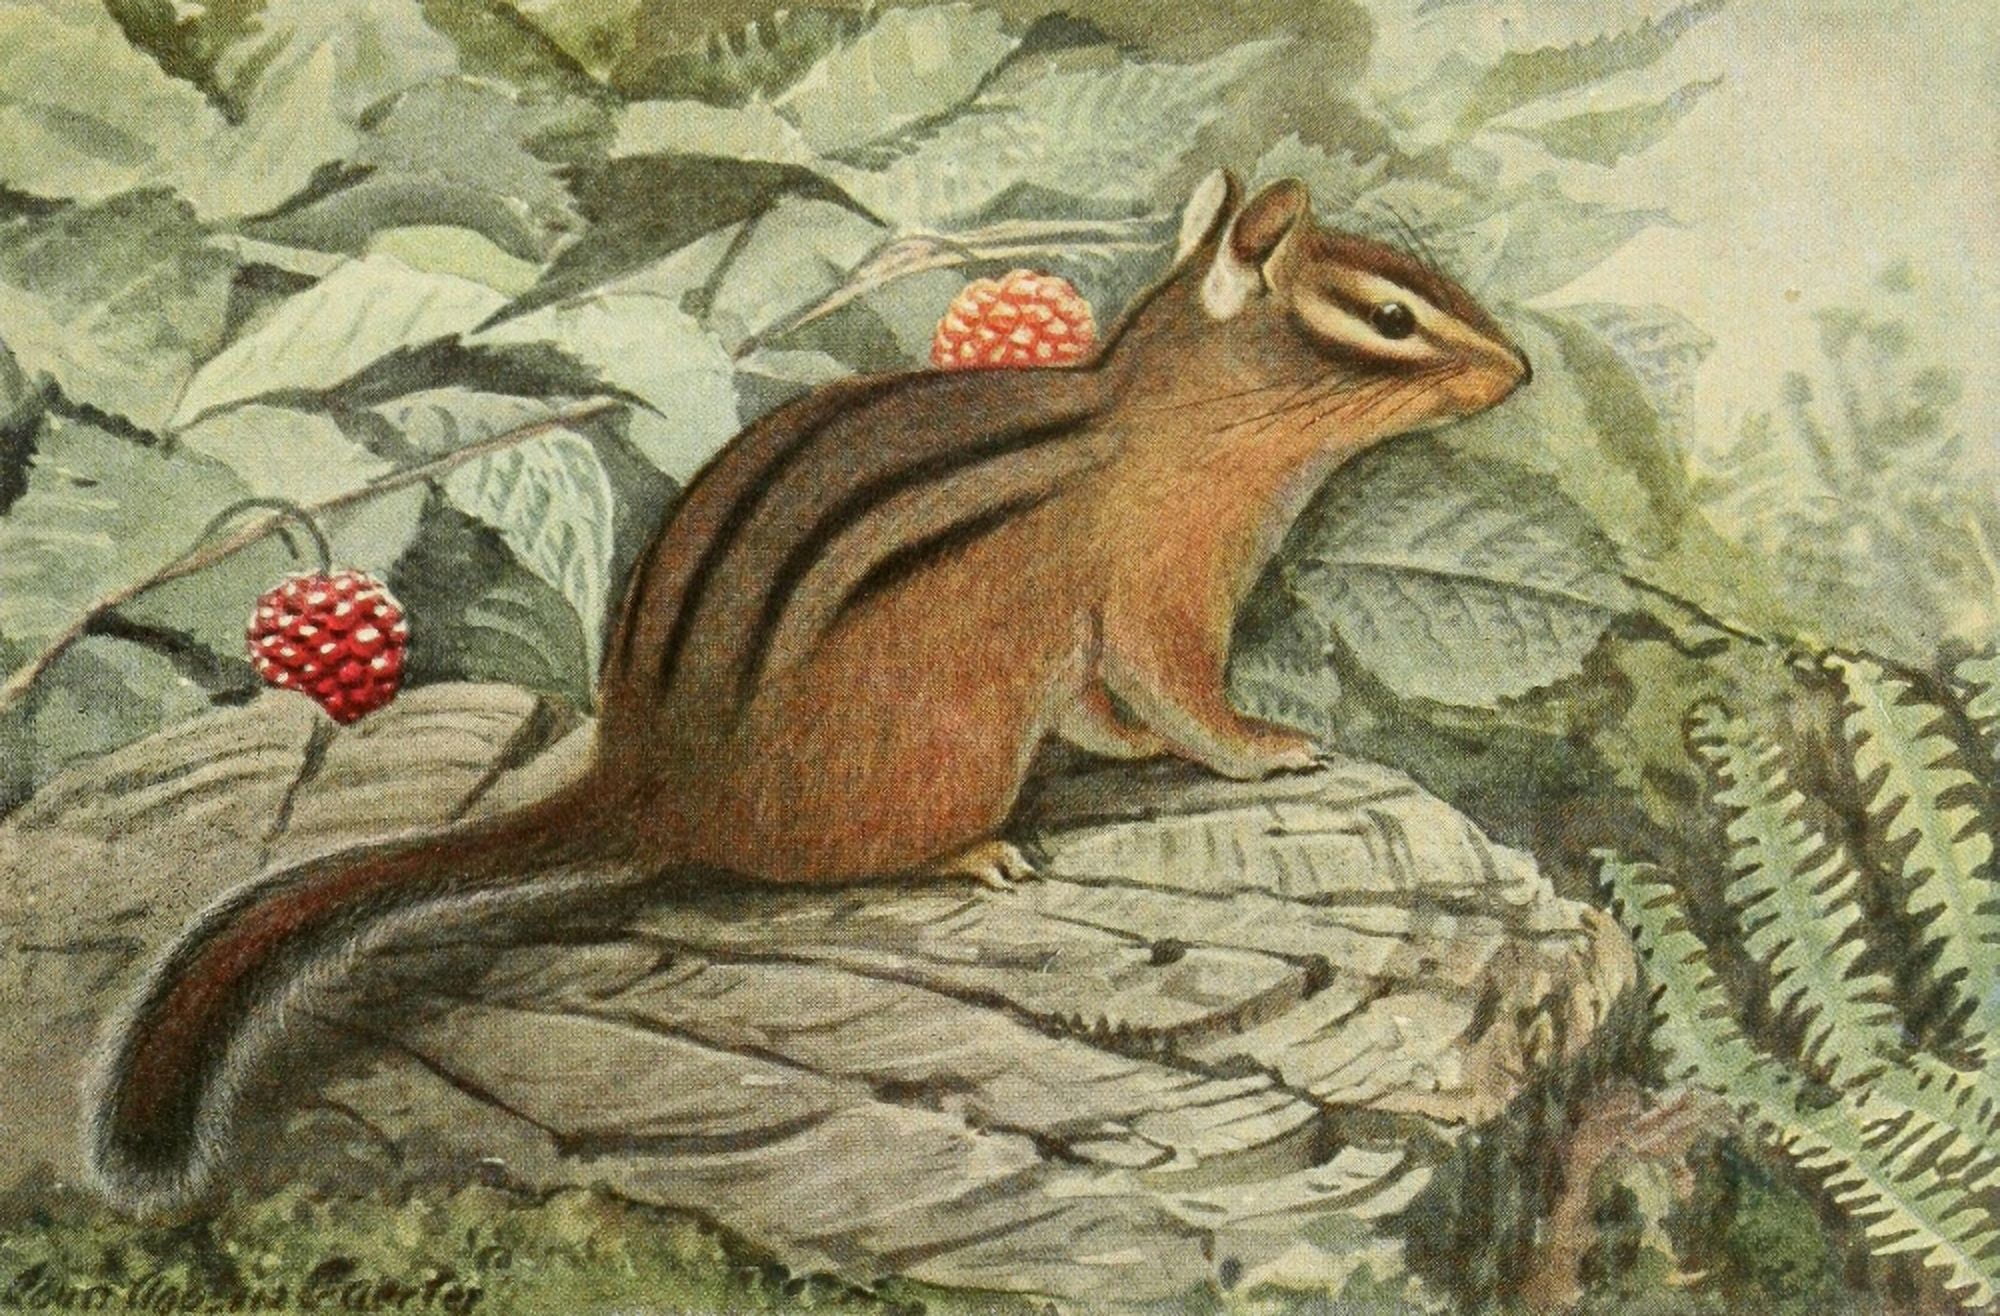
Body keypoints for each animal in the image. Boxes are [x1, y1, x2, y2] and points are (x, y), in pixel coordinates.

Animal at [85, 169, 1530, 1217]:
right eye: (1390, 318)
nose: (1518, 373)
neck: (1170, 422)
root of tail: (652, 782)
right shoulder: (1158, 591)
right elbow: (1179, 698)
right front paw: (1269, 746)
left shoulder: (1095, 642)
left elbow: (1103, 710)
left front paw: (1139, 752)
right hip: (941, 751)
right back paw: (966, 856)